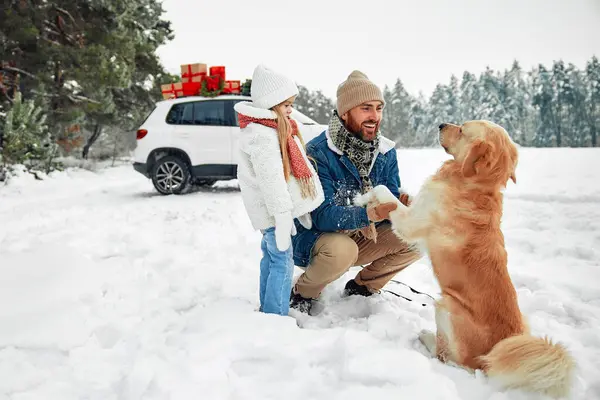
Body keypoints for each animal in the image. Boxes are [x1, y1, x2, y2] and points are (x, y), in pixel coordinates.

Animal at [358, 121, 576, 396]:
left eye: (462, 129)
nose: (440, 124)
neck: (473, 183)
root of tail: (491, 360)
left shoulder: (411, 223)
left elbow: (384, 190)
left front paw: (365, 195)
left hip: (446, 305)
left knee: (447, 358)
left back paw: (427, 338)